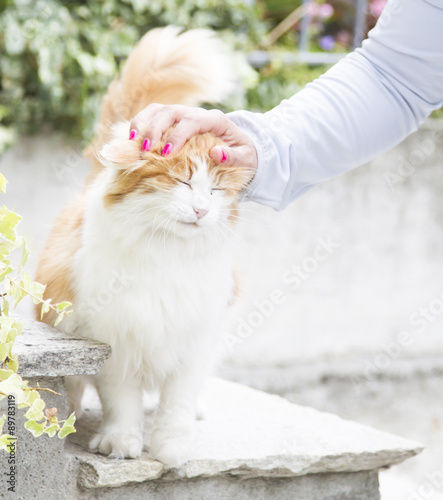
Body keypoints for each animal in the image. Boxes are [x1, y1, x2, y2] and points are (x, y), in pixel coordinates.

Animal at [35, 25, 250, 466]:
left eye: (216, 191)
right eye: (182, 181)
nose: (201, 210)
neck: (167, 254)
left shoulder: (194, 342)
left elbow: (176, 404)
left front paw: (172, 448)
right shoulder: (115, 342)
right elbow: (122, 401)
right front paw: (120, 442)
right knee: (74, 388)